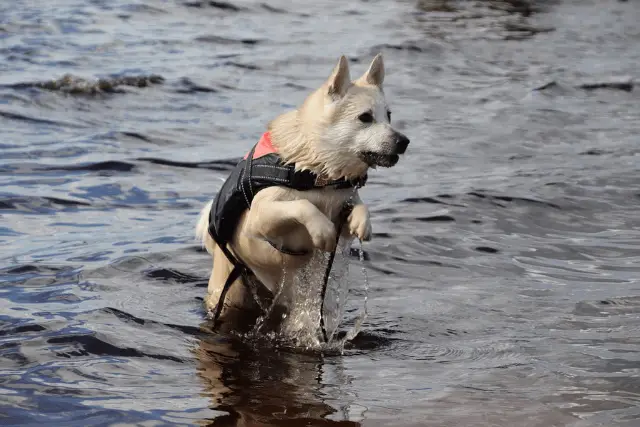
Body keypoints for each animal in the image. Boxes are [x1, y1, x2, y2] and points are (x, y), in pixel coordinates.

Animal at [192, 54, 410, 338]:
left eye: (389, 116)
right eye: (365, 117)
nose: (404, 141)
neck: (318, 171)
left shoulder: (343, 210)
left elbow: (358, 207)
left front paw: (363, 223)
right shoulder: (260, 217)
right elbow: (303, 205)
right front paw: (321, 230)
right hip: (230, 292)